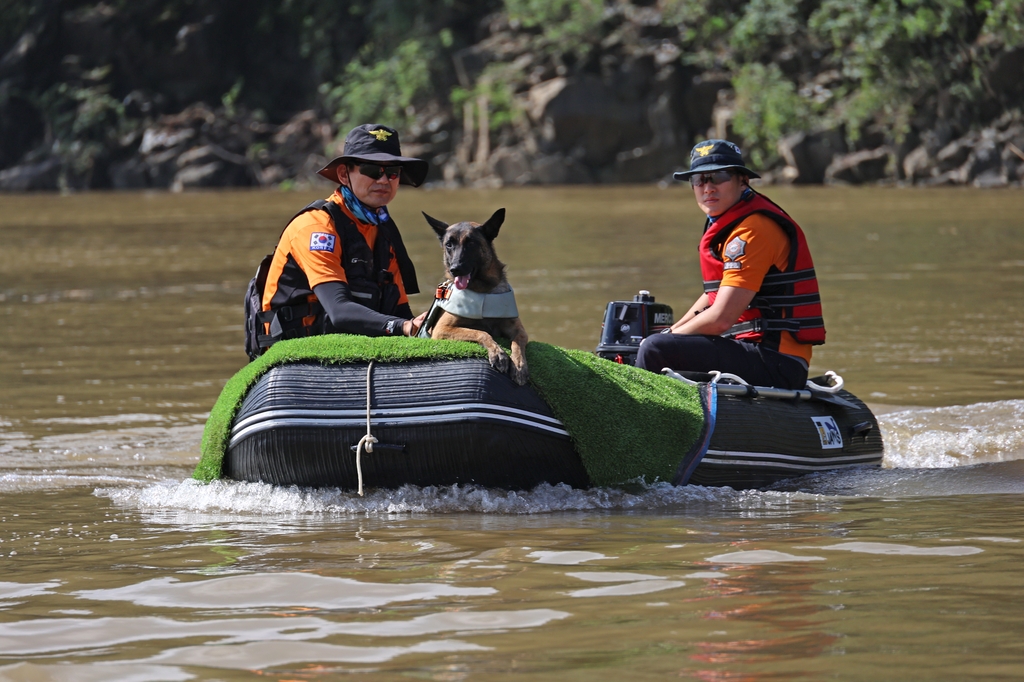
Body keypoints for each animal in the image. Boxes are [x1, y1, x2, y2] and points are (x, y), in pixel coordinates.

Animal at [421, 206, 532, 385]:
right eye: (449, 245)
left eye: (471, 243)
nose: (455, 269)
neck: (483, 291)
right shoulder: (441, 329)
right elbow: (480, 332)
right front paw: (498, 354)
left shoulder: (518, 329)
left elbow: (518, 342)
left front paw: (519, 364)